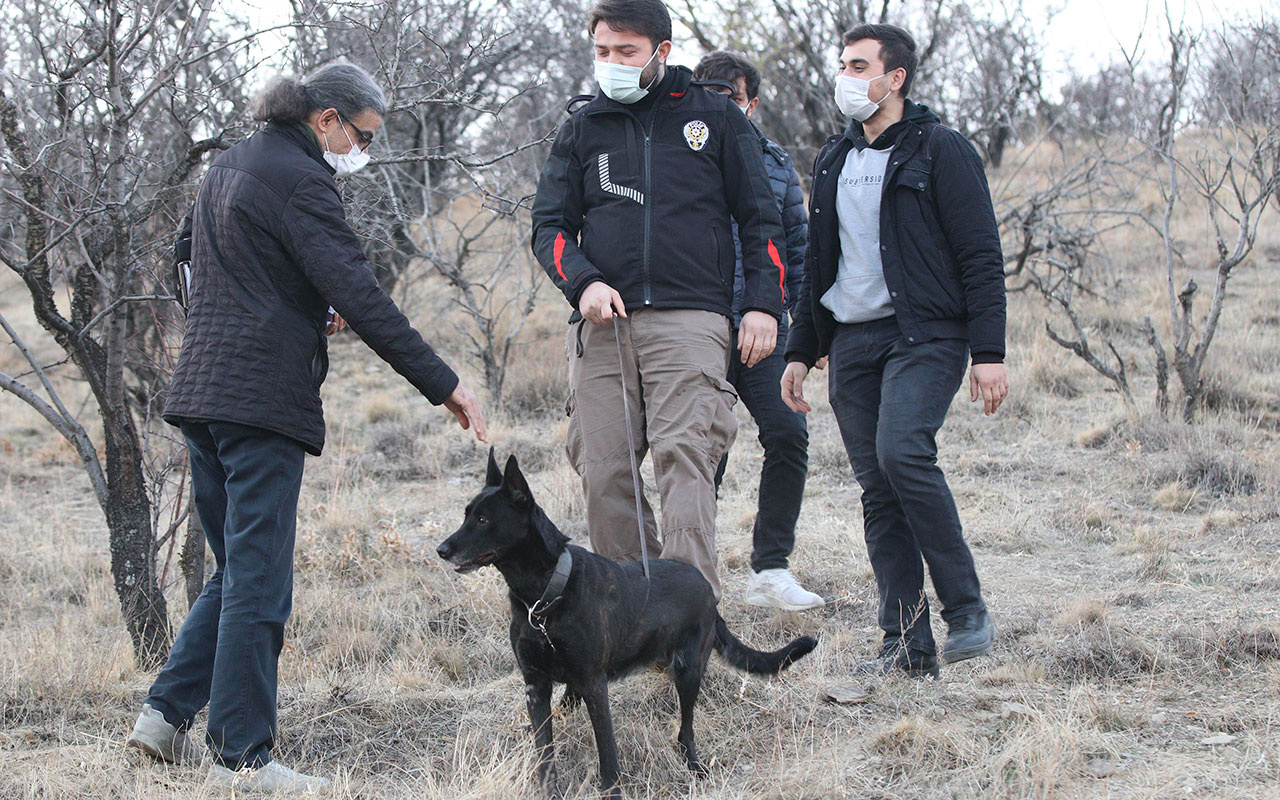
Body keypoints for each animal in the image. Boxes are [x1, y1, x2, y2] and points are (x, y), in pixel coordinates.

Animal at [437, 453, 819, 793]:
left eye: (483, 520)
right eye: (467, 514)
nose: (441, 550)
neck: (545, 595)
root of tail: (707, 591)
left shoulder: (594, 685)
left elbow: (607, 751)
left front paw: (611, 790)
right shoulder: (535, 686)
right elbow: (545, 752)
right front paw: (547, 789)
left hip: (688, 669)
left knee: (686, 730)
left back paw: (694, 765)